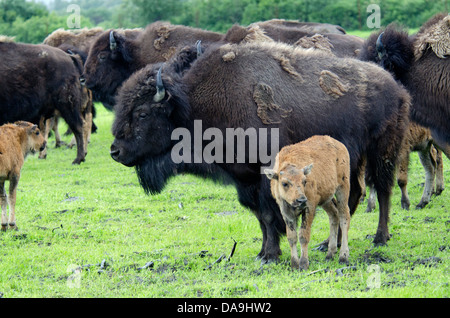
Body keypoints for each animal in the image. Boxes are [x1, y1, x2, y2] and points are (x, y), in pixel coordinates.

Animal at [264, 135, 352, 270]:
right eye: (284, 183)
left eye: (304, 181)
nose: (301, 200)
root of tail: (340, 145)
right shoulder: (286, 212)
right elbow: (292, 237)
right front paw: (294, 264)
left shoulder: (309, 207)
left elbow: (303, 235)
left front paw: (303, 264)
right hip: (326, 199)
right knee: (334, 215)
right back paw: (330, 254)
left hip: (343, 188)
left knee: (344, 217)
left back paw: (343, 256)